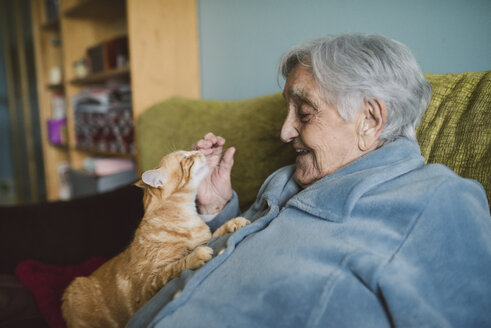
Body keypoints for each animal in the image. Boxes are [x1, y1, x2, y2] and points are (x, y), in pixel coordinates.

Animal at [62, 150, 250, 326]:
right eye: (186, 158)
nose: (200, 151)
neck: (186, 217)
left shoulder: (205, 237)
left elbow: (216, 232)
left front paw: (234, 222)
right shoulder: (149, 285)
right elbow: (176, 266)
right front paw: (197, 255)